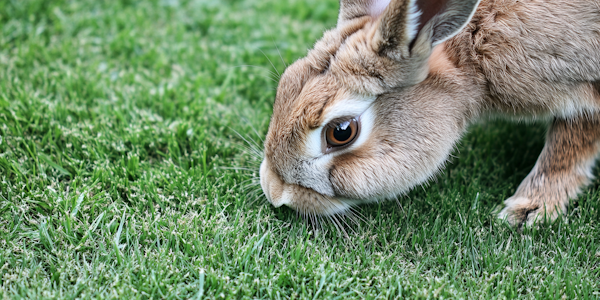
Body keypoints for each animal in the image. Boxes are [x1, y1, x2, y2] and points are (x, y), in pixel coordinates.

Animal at [258, 0, 600, 226]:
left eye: (341, 132)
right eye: (286, 81)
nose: (274, 192)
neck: (471, 54)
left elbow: (569, 144)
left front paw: (527, 210)